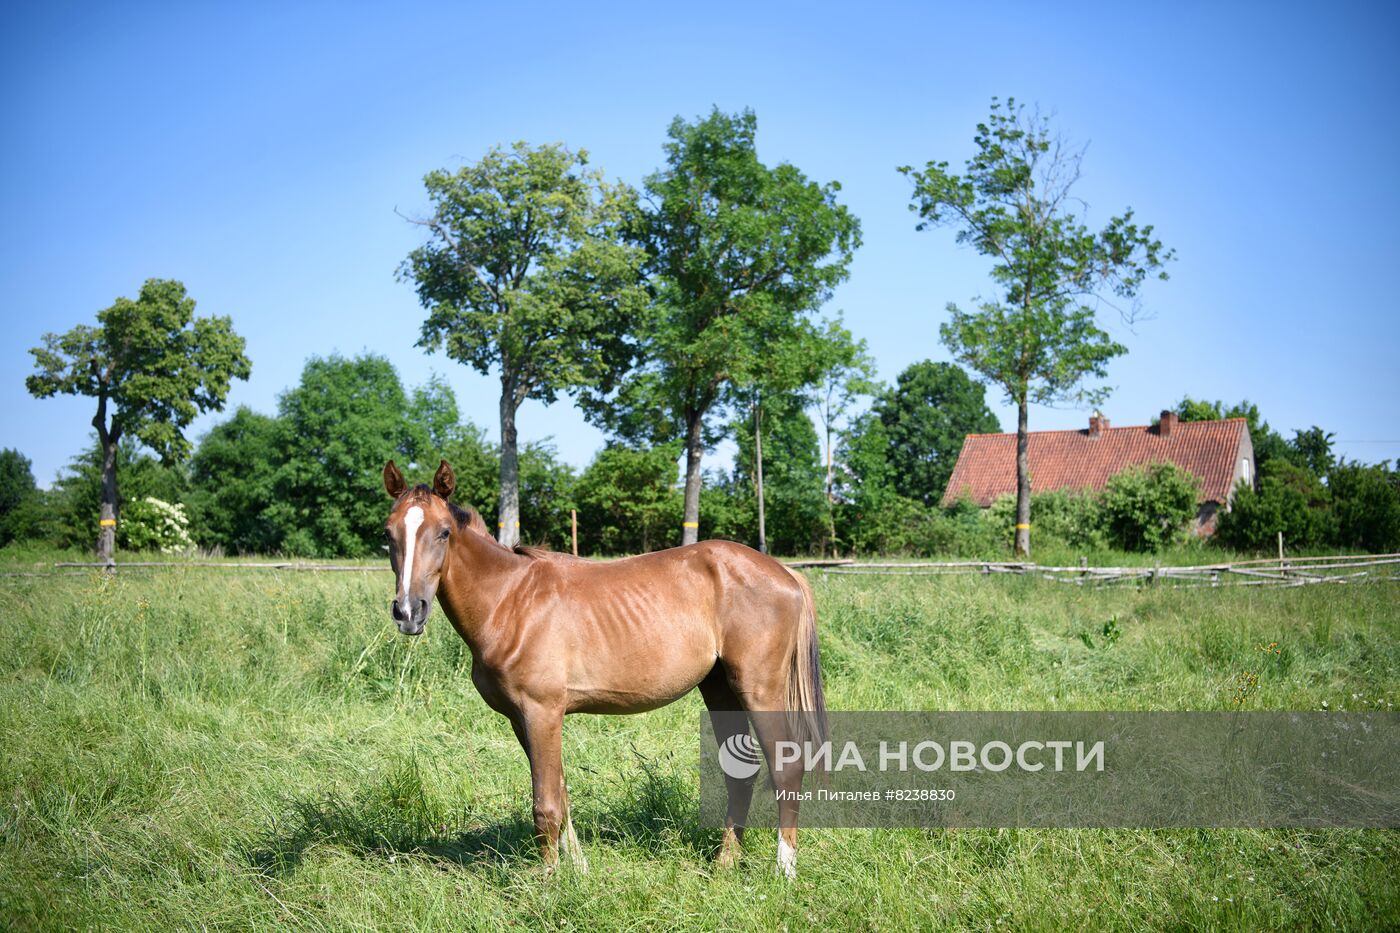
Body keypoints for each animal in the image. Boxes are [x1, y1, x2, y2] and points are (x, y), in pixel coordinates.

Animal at [378, 462, 823, 874]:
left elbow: (545, 804)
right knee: (741, 775)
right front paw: (578, 869)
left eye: (443, 532)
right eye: (388, 534)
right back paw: (724, 864)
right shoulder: (521, 718)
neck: (509, 601)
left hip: (758, 689)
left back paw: (784, 870)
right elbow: (561, 792)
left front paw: (550, 881)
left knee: (787, 767)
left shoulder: (542, 712)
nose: (408, 612)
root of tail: (786, 574)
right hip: (719, 690)